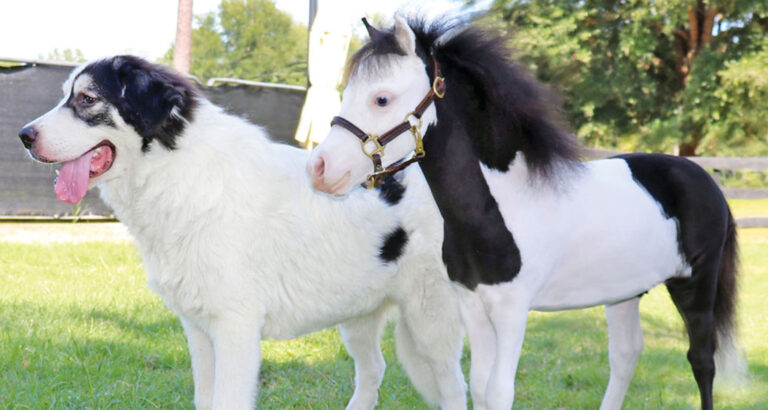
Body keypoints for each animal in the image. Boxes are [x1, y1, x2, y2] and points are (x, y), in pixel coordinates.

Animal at [19, 55, 468, 410]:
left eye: (87, 99)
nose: (24, 136)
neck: (176, 170)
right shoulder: (198, 328)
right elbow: (204, 398)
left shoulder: (235, 328)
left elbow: (226, 400)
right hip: (358, 313)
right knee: (373, 371)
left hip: (433, 322)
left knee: (454, 388)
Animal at [308, 16, 740, 410]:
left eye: (381, 99)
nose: (322, 169)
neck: (498, 209)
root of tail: (702, 177)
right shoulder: (472, 307)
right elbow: (480, 387)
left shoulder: (512, 312)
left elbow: (500, 392)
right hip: (625, 293)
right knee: (626, 356)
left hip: (695, 284)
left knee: (702, 361)